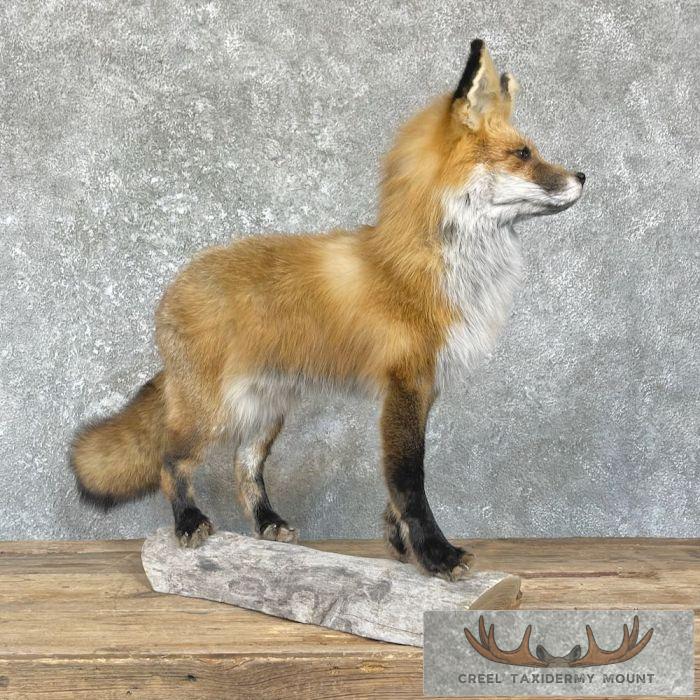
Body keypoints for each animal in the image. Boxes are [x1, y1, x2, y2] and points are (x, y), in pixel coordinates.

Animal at [71, 39, 585, 580]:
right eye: (523, 154)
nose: (583, 177)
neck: (429, 265)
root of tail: (175, 284)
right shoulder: (406, 385)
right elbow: (409, 480)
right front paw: (435, 554)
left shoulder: (424, 390)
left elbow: (397, 486)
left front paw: (402, 545)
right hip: (212, 410)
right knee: (172, 461)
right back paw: (189, 521)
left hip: (266, 411)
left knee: (243, 466)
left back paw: (268, 522)